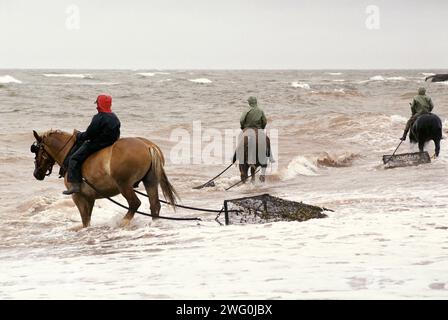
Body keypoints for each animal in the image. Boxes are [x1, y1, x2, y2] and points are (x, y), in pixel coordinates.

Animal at [31, 129, 178, 230]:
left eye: (36, 150)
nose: (36, 174)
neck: (70, 151)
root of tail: (147, 145)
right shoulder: (90, 198)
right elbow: (87, 219)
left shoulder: (78, 197)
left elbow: (85, 220)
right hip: (150, 182)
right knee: (155, 205)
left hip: (124, 185)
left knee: (134, 203)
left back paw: (123, 222)